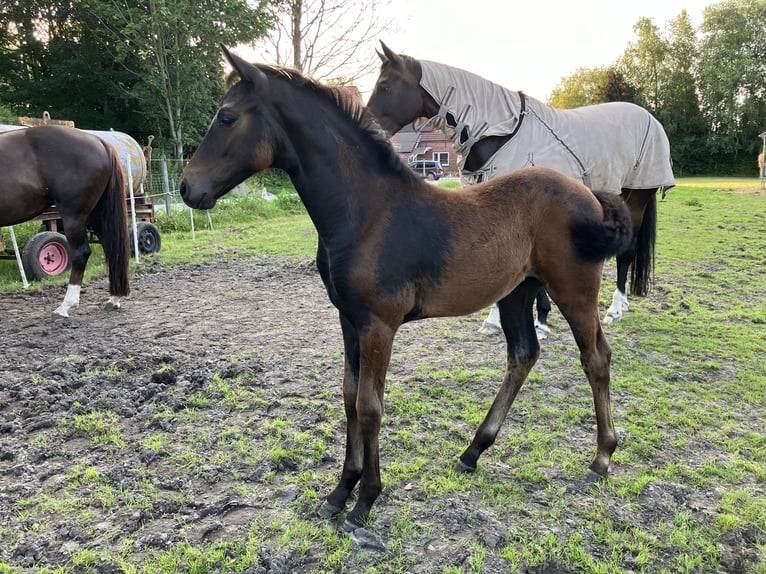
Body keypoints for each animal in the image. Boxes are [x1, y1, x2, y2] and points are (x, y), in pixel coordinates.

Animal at [0, 125, 130, 320]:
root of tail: (100, 141)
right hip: (97, 214)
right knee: (112, 247)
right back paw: (114, 299)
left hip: (74, 216)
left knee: (81, 254)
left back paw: (64, 307)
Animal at [182, 47, 636, 532]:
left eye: (227, 117)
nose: (188, 187)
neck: (367, 211)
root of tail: (590, 195)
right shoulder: (349, 319)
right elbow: (349, 396)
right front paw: (339, 492)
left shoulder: (380, 324)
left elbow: (370, 405)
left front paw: (364, 501)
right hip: (517, 292)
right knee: (523, 354)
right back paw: (473, 451)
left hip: (574, 291)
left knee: (596, 358)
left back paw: (602, 458)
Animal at [368, 41, 676, 332]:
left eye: (384, 86)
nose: (370, 127)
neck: (500, 134)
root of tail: (649, 117)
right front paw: (498, 321)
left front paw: (540, 321)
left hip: (635, 199)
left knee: (626, 253)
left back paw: (616, 309)